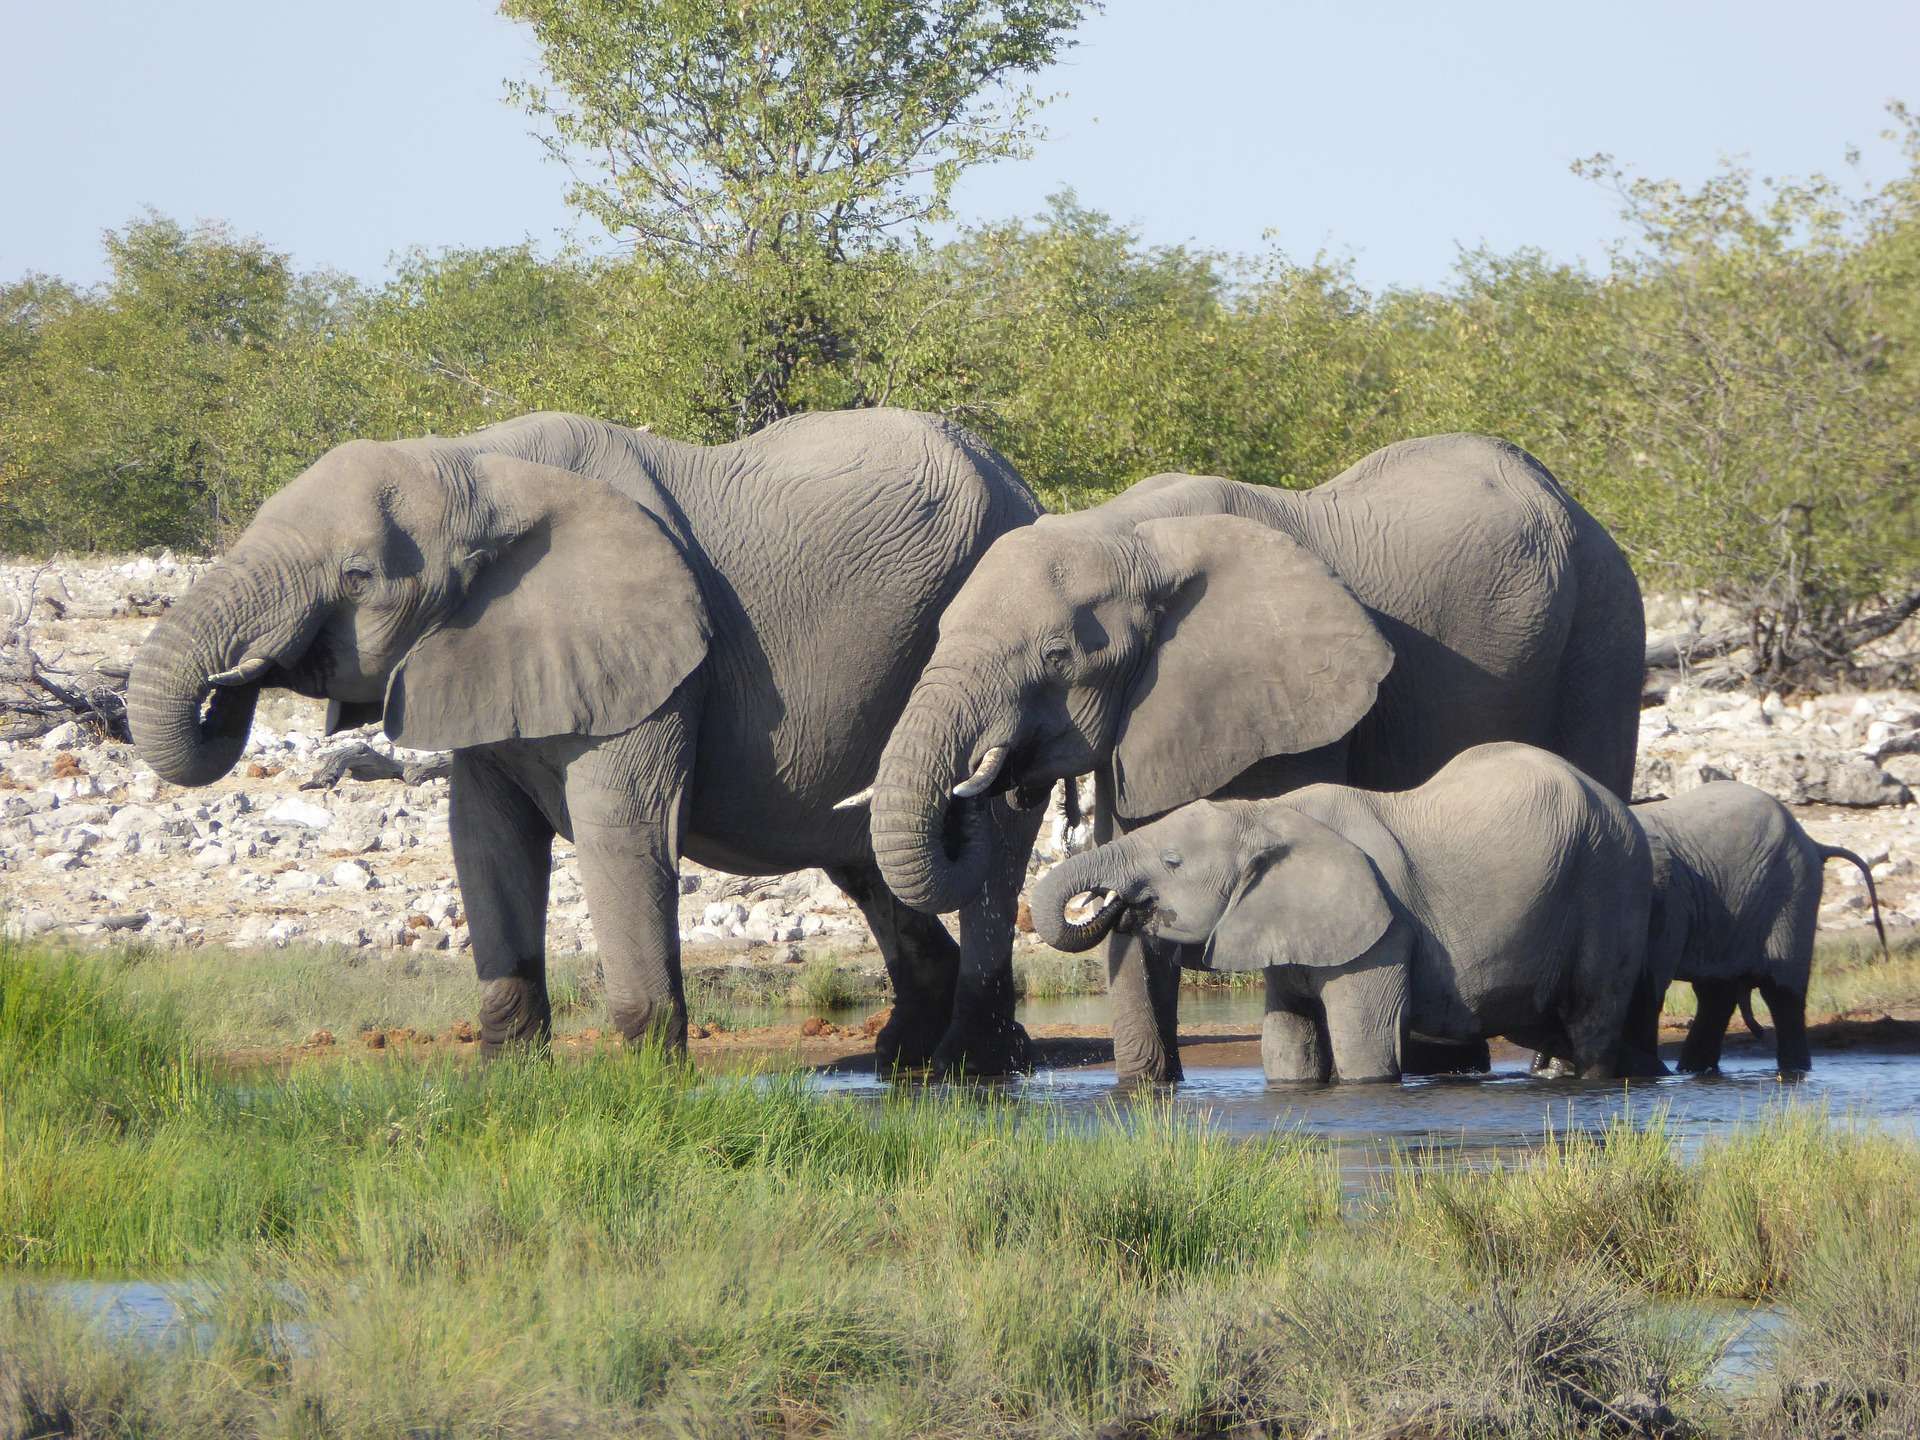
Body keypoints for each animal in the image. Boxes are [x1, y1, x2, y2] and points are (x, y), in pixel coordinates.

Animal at [128, 408, 1046, 1072]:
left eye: (357, 576)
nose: (235, 681)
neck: (477, 465)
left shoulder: (656, 668)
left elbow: (623, 832)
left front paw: (647, 1090)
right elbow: (485, 842)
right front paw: (507, 1082)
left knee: (992, 844)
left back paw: (973, 1066)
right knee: (865, 856)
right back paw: (903, 1059)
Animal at [1029, 744, 1659, 1083]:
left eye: (1172, 861)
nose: (1115, 901)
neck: (1268, 812)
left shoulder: (1382, 932)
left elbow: (1364, 1044)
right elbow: (1288, 1042)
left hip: (1612, 884)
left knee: (1593, 1020)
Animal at [1637, 781, 1889, 1075]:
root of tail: (1813, 842)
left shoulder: (1668, 903)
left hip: (1791, 893)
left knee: (1780, 994)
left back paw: (1794, 1071)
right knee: (1716, 993)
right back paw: (1693, 1071)